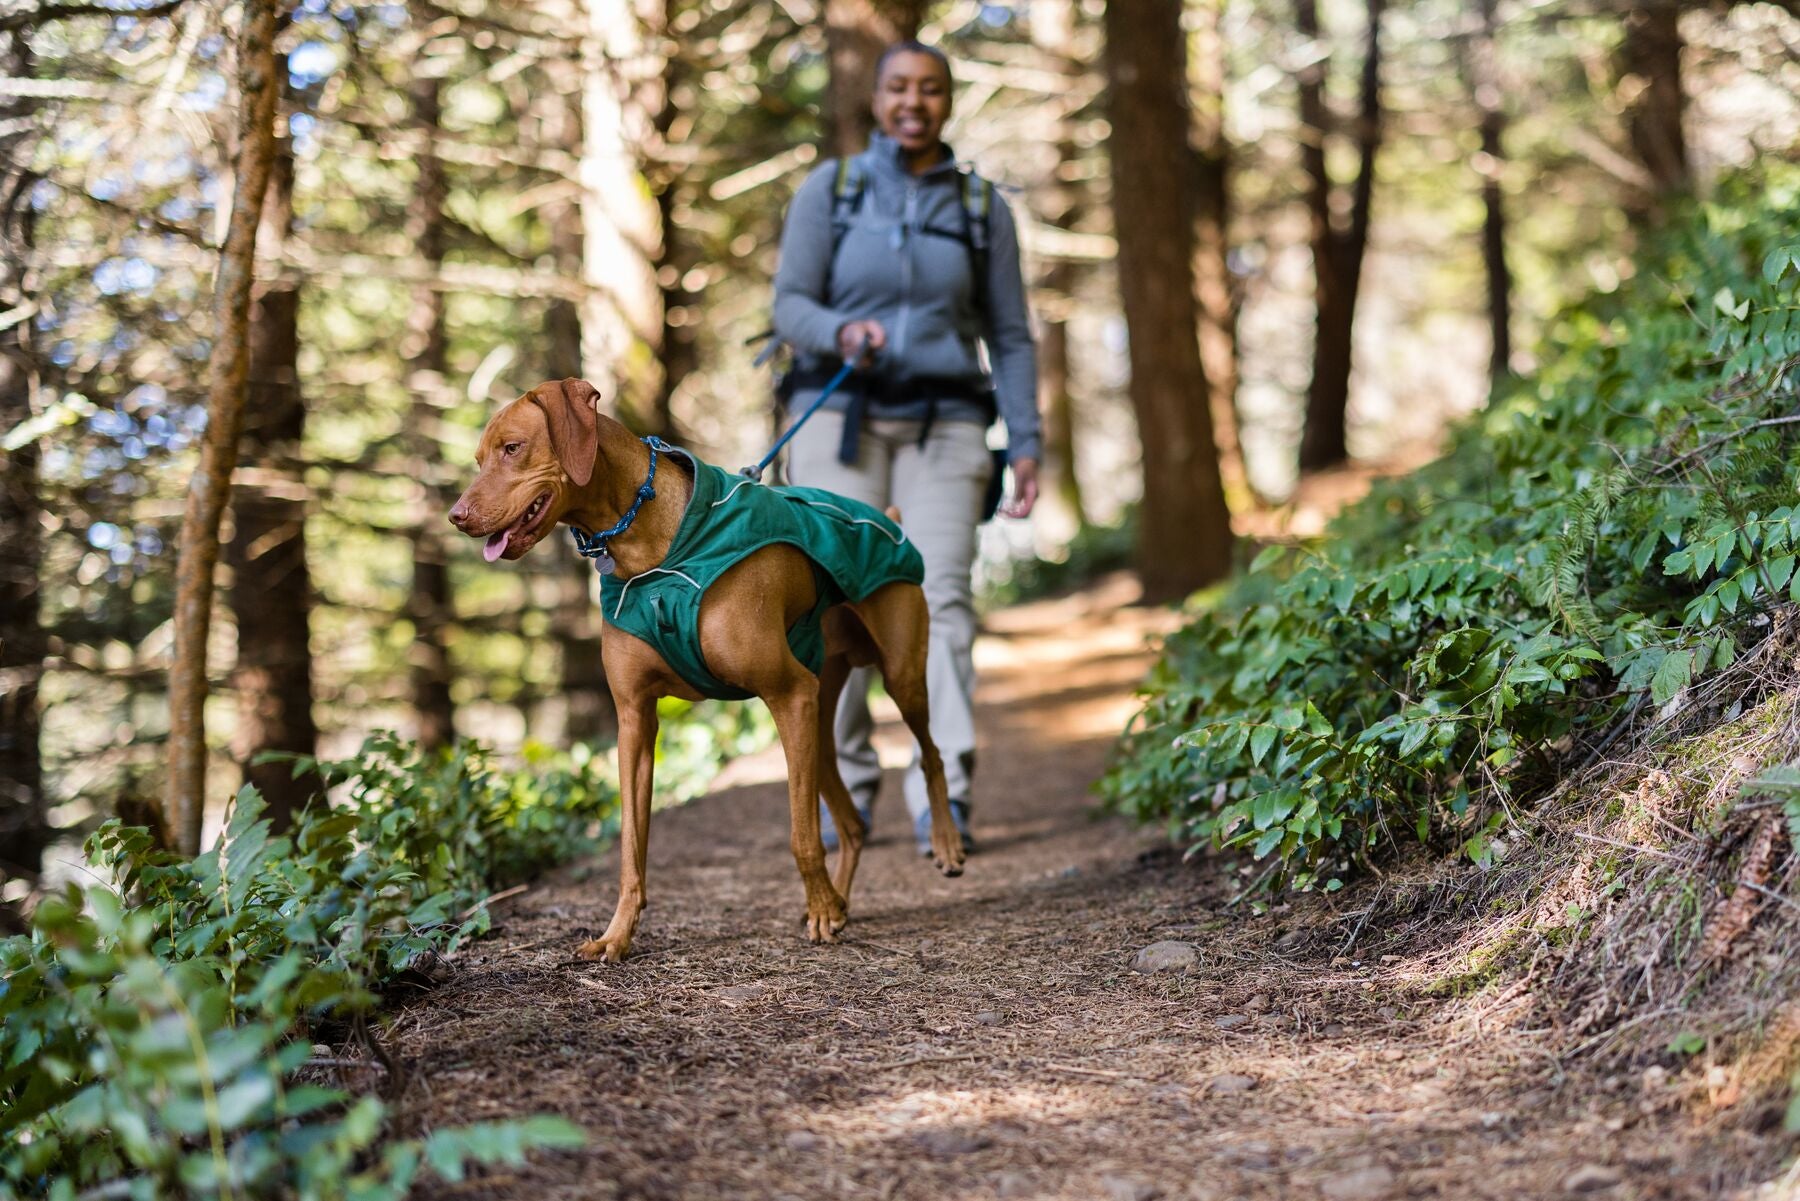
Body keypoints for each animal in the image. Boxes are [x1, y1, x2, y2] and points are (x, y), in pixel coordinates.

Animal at [442, 379, 964, 965]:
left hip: (894, 674)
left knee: (931, 753)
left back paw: (940, 848)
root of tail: (889, 515)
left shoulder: (786, 694)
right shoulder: (635, 721)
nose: (456, 516)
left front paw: (821, 909)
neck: (650, 549)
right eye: (478, 459)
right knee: (851, 823)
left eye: (512, 448)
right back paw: (839, 901)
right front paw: (616, 935)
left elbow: (801, 836)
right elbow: (631, 850)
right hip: (816, 712)